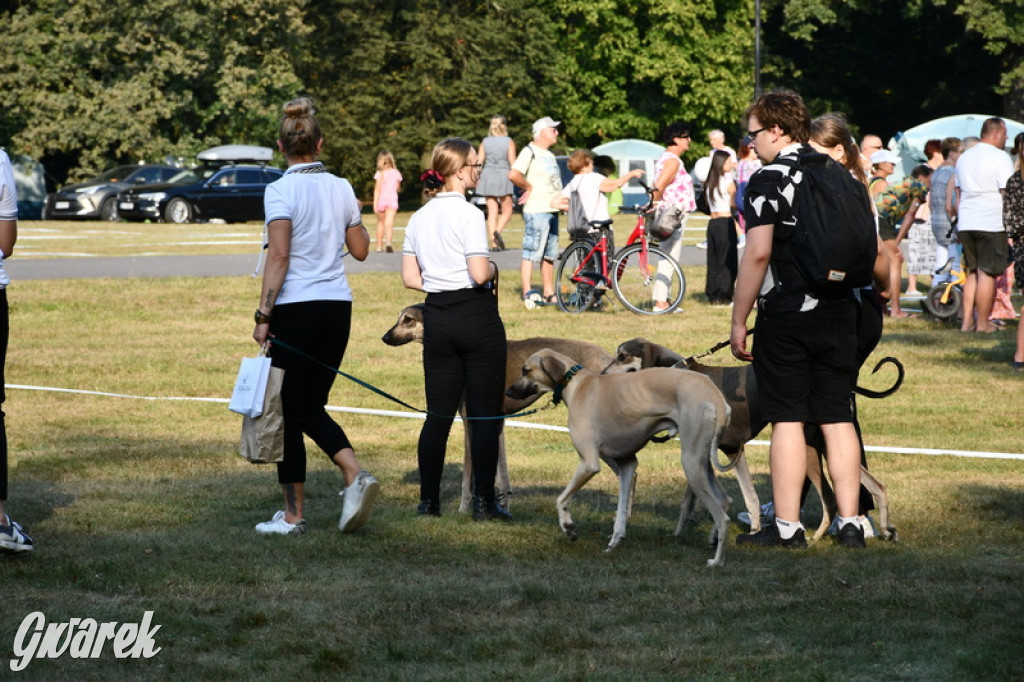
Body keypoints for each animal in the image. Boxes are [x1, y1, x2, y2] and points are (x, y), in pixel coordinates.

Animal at [380, 303, 610, 509]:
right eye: (399, 317)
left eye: (408, 319)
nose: (385, 338)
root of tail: (608, 358)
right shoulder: (496, 422)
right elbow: (502, 473)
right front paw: (502, 506)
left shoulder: (471, 422)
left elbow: (468, 474)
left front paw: (464, 509)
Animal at [505, 348, 733, 565]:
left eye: (526, 370)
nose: (508, 391)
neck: (577, 384)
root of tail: (716, 396)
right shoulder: (626, 464)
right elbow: (621, 511)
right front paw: (614, 542)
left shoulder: (589, 464)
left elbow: (561, 499)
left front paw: (568, 526)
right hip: (702, 461)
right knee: (725, 500)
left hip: (691, 463)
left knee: (722, 517)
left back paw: (717, 561)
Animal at [602, 337, 901, 540]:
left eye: (623, 356)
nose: (602, 375)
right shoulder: (701, 453)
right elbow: (692, 500)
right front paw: (681, 532)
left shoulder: (732, 448)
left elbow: (750, 496)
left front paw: (750, 530)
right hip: (828, 444)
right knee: (875, 485)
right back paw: (885, 530)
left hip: (810, 449)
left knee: (830, 499)